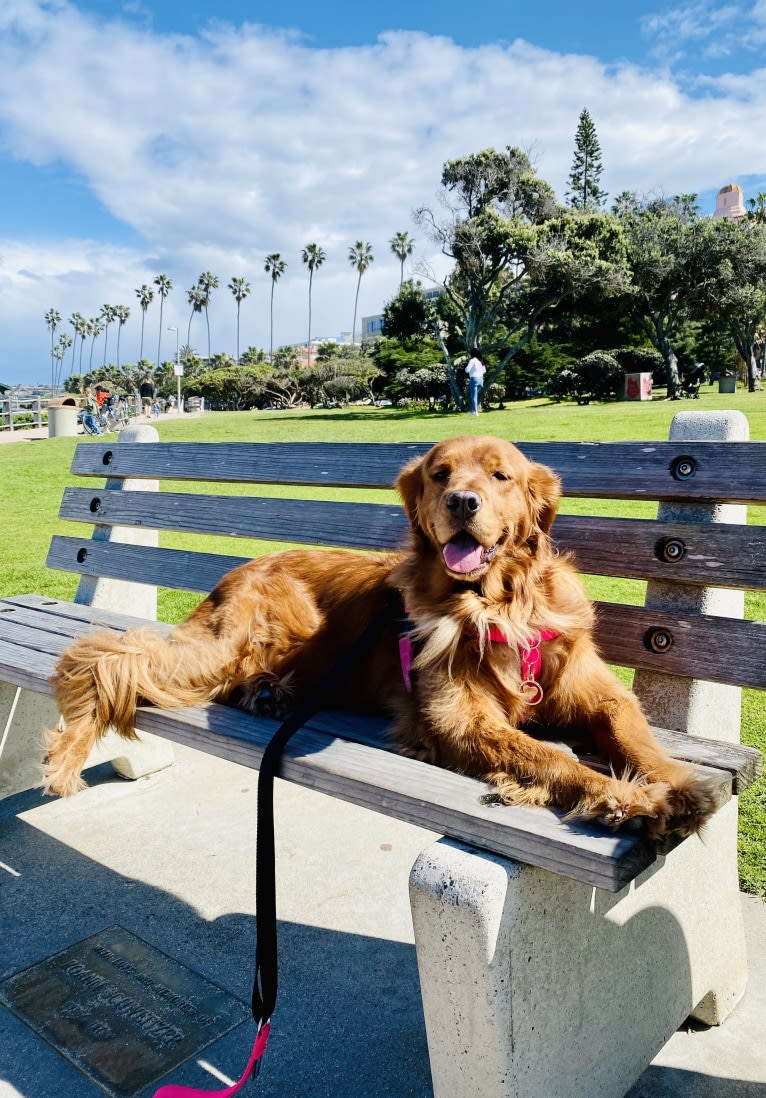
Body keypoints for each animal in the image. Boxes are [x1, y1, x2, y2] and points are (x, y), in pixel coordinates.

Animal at [44, 432, 711, 834]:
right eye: (441, 474)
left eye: (500, 476)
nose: (462, 501)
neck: (498, 604)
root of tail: (238, 569)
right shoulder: (459, 720)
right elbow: (547, 753)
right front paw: (622, 797)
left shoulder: (599, 694)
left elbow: (633, 735)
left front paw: (677, 787)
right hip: (219, 648)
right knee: (105, 658)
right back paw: (67, 754)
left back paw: (267, 694)